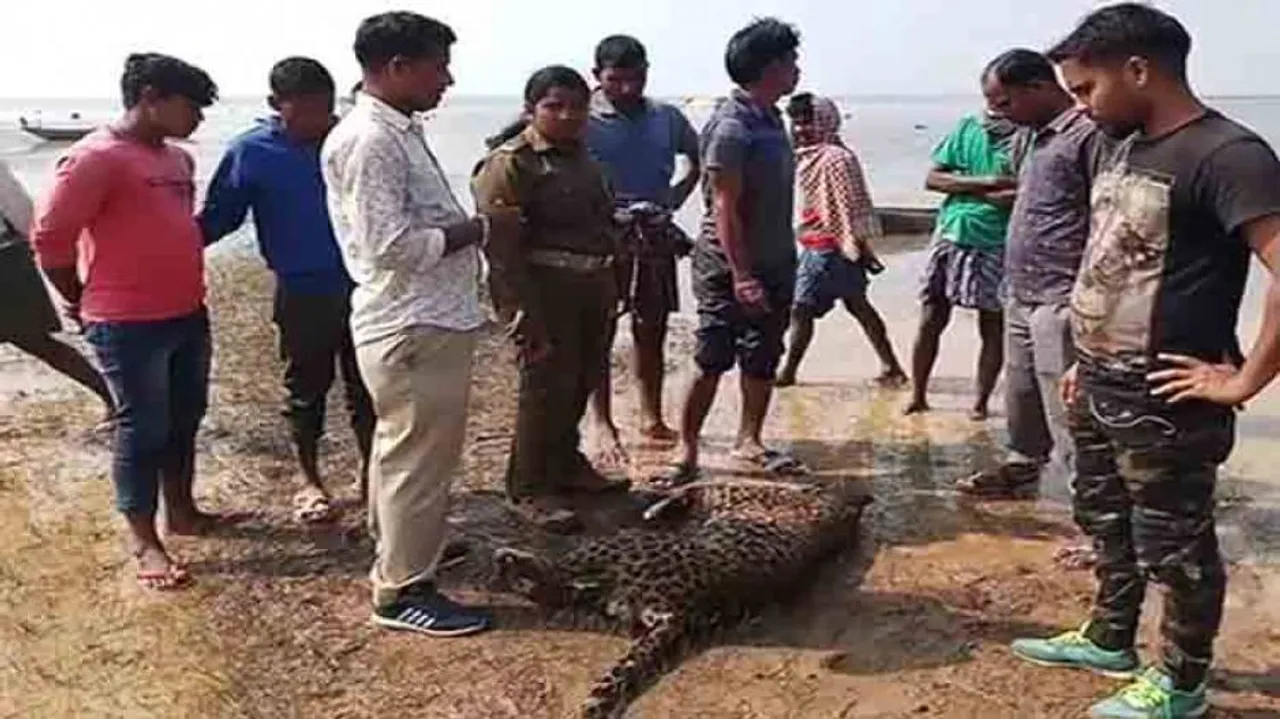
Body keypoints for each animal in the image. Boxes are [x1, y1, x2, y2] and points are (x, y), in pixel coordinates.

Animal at [491, 477, 872, 719]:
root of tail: (682, 613)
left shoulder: (732, 491)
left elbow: (698, 486)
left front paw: (661, 500)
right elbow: (694, 490)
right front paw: (662, 500)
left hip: (621, 545)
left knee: (556, 575)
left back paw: (512, 559)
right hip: (613, 593)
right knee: (558, 593)